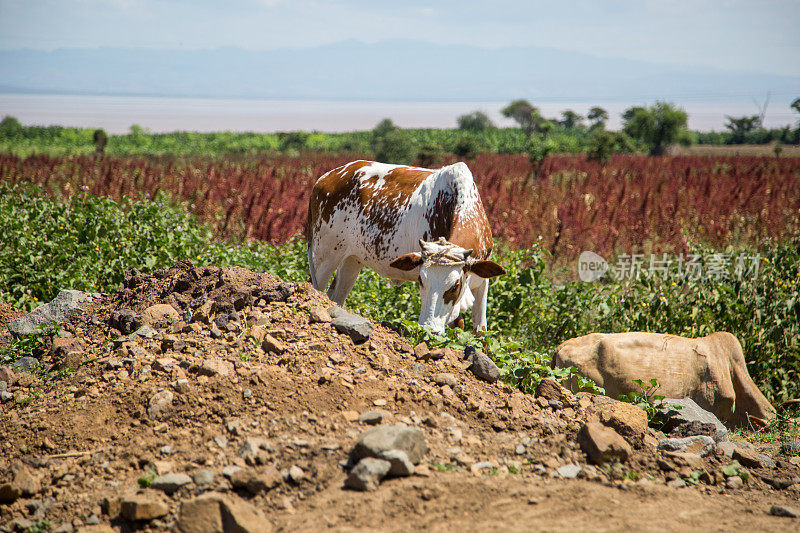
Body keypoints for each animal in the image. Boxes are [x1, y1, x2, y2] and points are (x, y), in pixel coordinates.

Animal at [308, 159, 504, 332]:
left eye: (455, 286)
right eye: (420, 280)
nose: (429, 329)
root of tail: (324, 178)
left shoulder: (482, 282)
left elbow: (480, 331)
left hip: (351, 260)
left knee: (336, 297)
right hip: (324, 256)